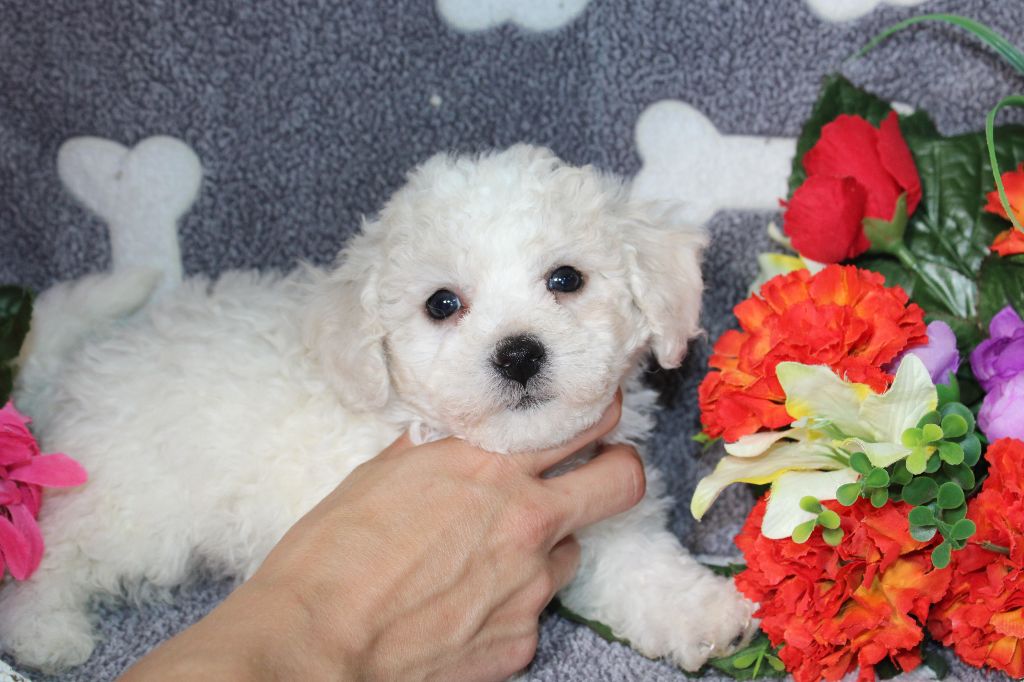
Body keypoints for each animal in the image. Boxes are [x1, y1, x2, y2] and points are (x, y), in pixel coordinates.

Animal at [0, 146, 753, 671]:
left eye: (566, 279)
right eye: (441, 304)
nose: (518, 355)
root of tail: (76, 361)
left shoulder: (601, 519)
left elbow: (640, 570)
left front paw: (703, 614)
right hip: (126, 502)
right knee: (51, 554)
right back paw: (45, 631)